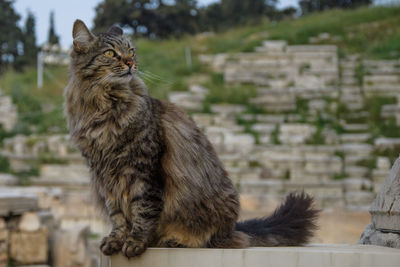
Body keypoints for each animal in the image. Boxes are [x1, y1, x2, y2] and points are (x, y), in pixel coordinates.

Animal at [64, 19, 318, 260]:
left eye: (131, 51)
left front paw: (135, 242)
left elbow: (142, 211)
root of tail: (233, 228)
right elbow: (117, 215)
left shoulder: (143, 170)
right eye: (110, 53)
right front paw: (117, 239)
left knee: (214, 240)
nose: (130, 63)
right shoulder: (104, 176)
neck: (104, 106)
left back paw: (174, 240)